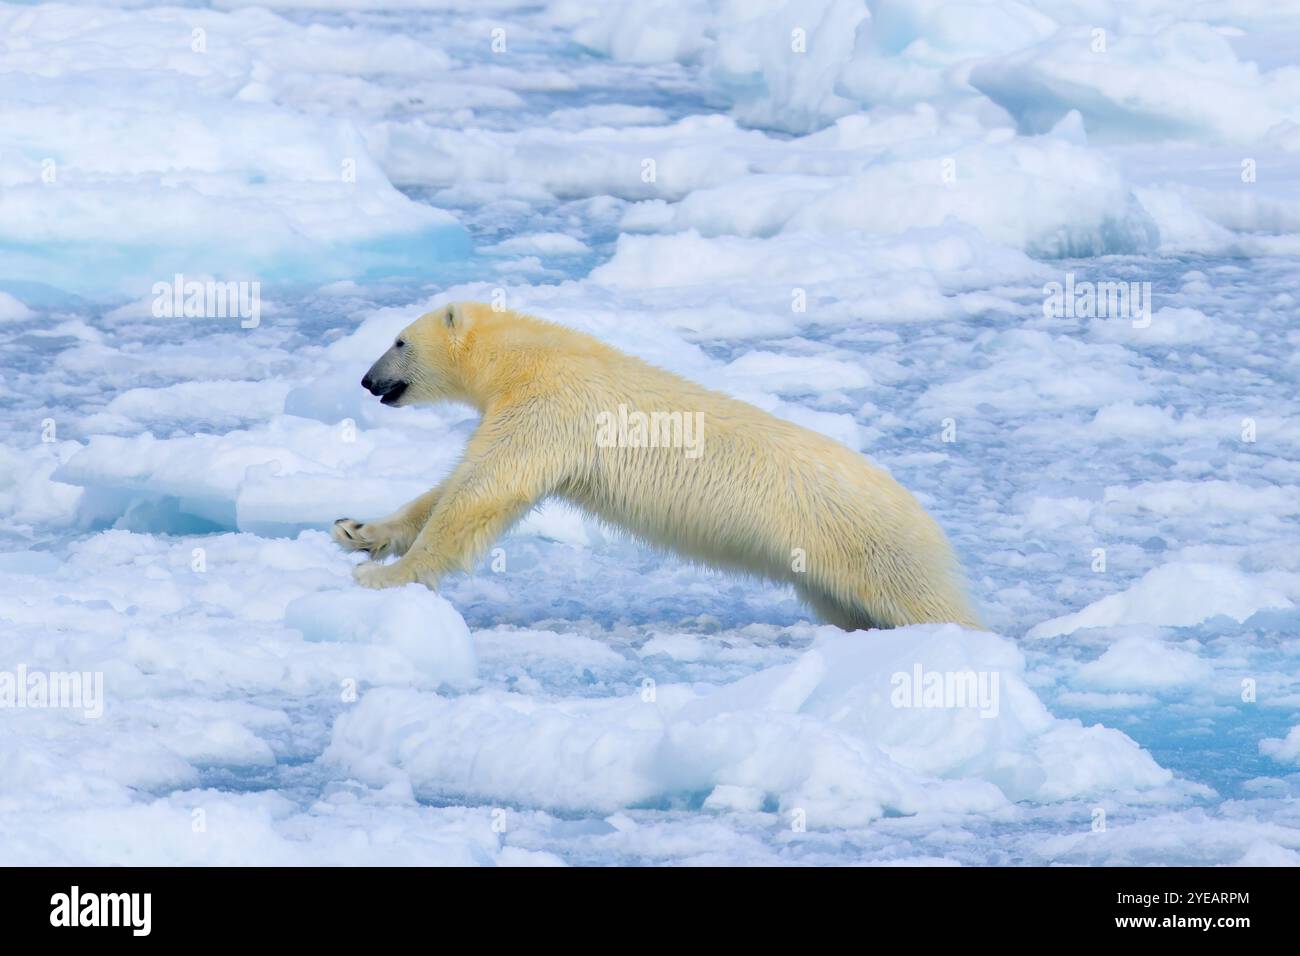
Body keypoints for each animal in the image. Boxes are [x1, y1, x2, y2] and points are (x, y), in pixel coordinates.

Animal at [330, 303, 977, 632]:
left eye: (398, 341)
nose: (365, 381)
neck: (527, 355)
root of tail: (924, 515)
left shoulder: (551, 404)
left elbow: (483, 490)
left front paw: (384, 578)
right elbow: (452, 487)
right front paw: (356, 531)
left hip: (873, 545)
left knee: (926, 605)